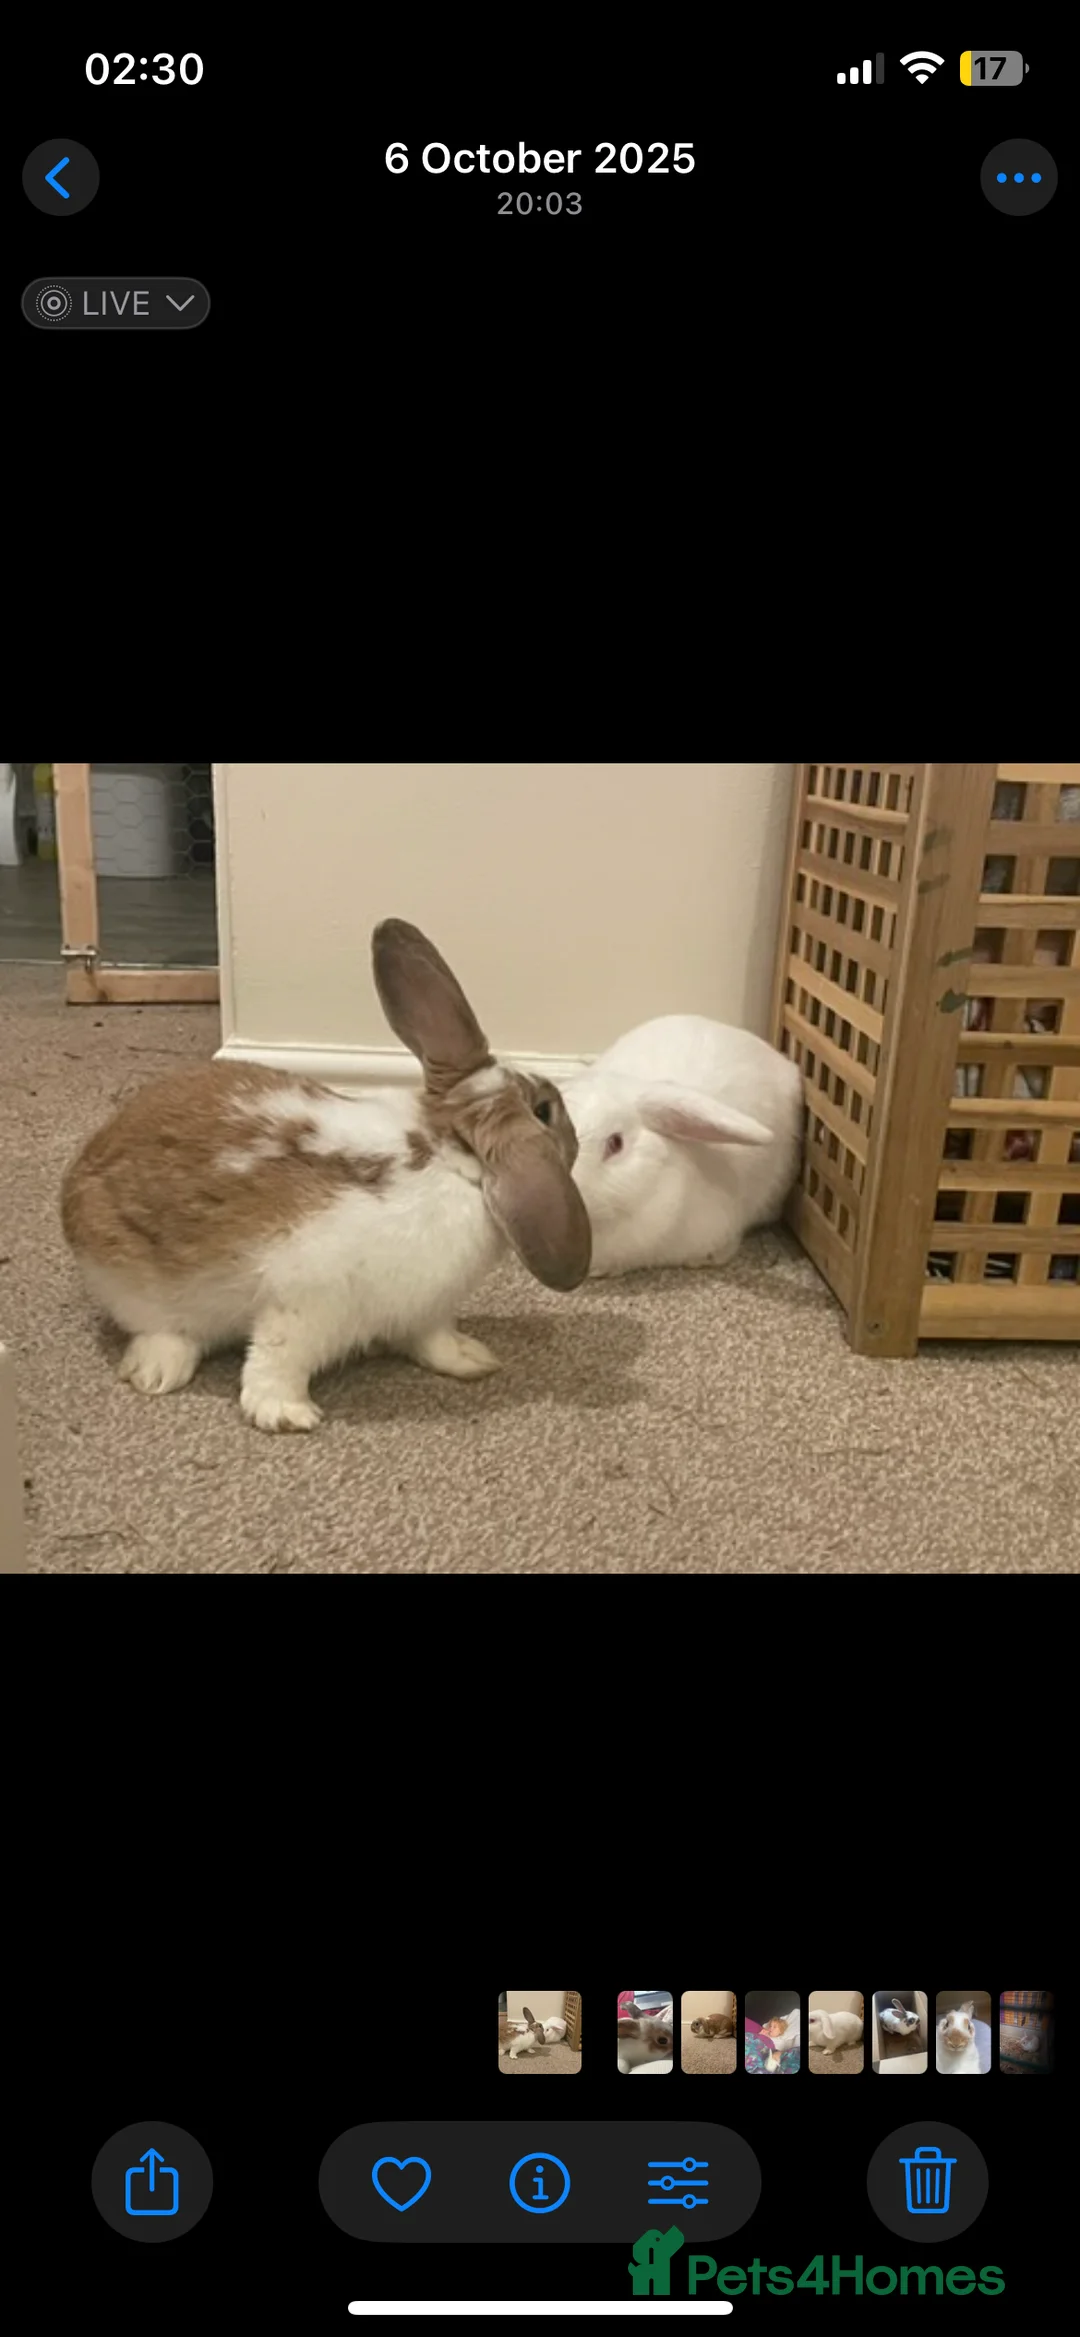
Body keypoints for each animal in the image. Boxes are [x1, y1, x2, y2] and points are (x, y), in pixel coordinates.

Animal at [60, 918, 591, 1432]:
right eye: (545, 1111)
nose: (577, 1136)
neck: (445, 1154)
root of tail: (79, 1177)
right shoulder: (307, 1300)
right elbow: (277, 1359)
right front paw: (286, 1414)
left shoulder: (425, 1310)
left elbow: (434, 1341)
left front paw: (472, 1359)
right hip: (139, 1287)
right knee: (160, 1330)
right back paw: (158, 1373)